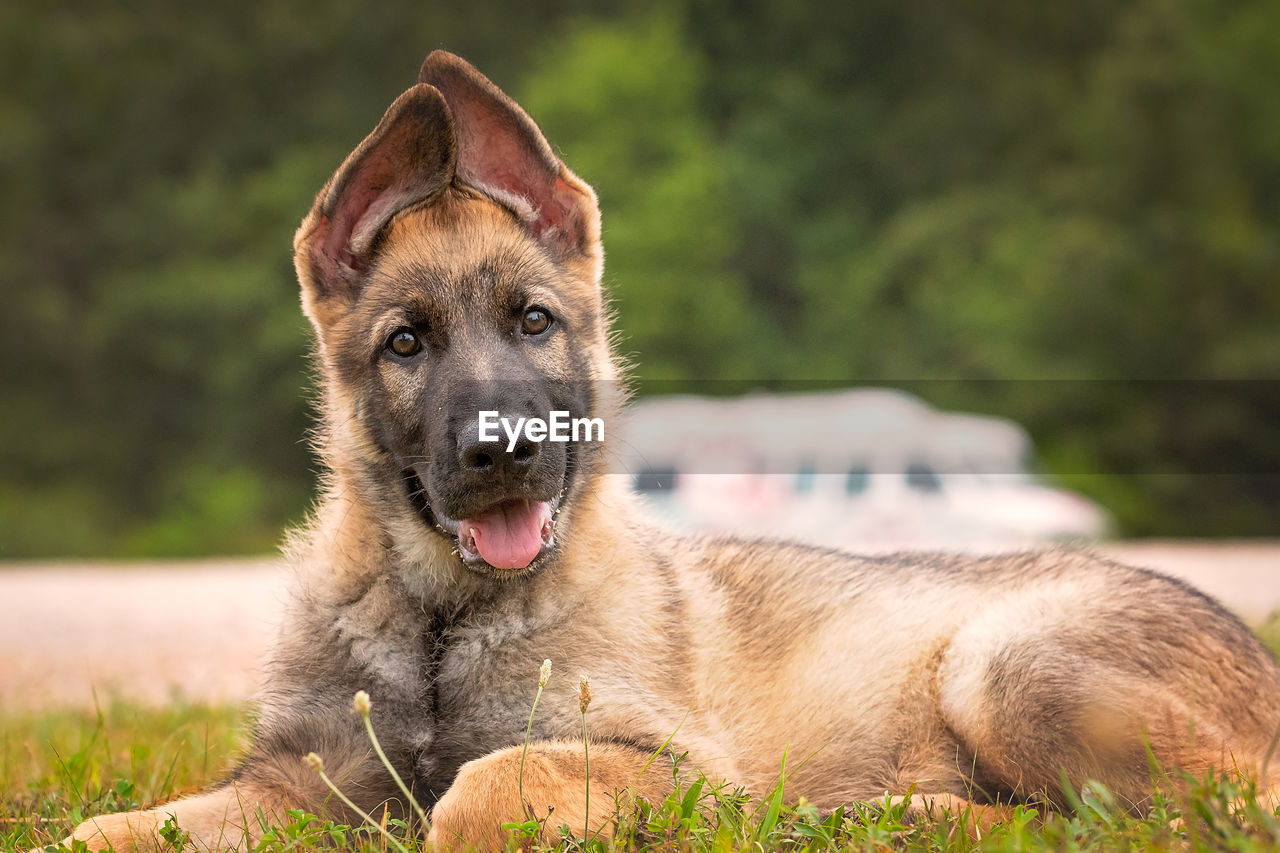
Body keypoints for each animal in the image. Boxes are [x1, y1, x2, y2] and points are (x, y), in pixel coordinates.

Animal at [57, 49, 1280, 845]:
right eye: (406, 342)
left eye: (534, 322)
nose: (504, 450)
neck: (442, 617)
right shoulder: (293, 781)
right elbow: (109, 828)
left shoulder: (675, 766)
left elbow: (483, 786)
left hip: (1004, 665)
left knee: (1202, 804)